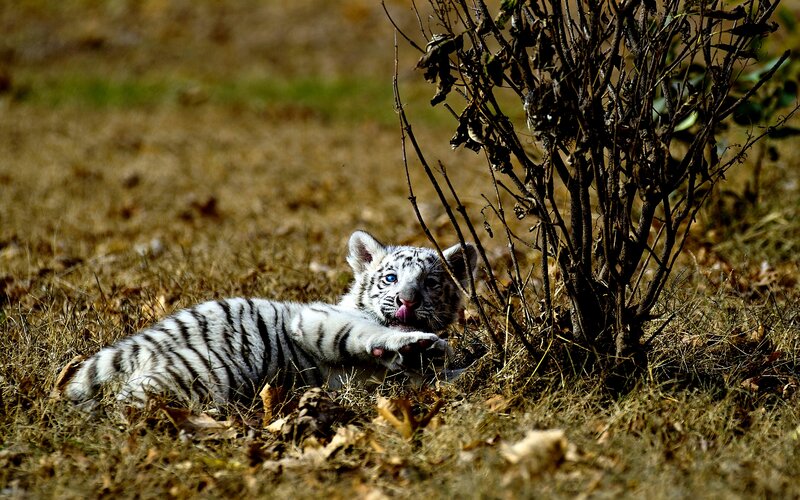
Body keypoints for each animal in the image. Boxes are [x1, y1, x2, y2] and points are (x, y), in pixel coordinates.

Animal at [62, 231, 477, 408]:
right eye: (391, 278)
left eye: (430, 282)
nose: (407, 300)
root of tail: (150, 338)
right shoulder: (316, 319)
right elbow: (360, 332)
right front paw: (419, 344)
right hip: (197, 373)